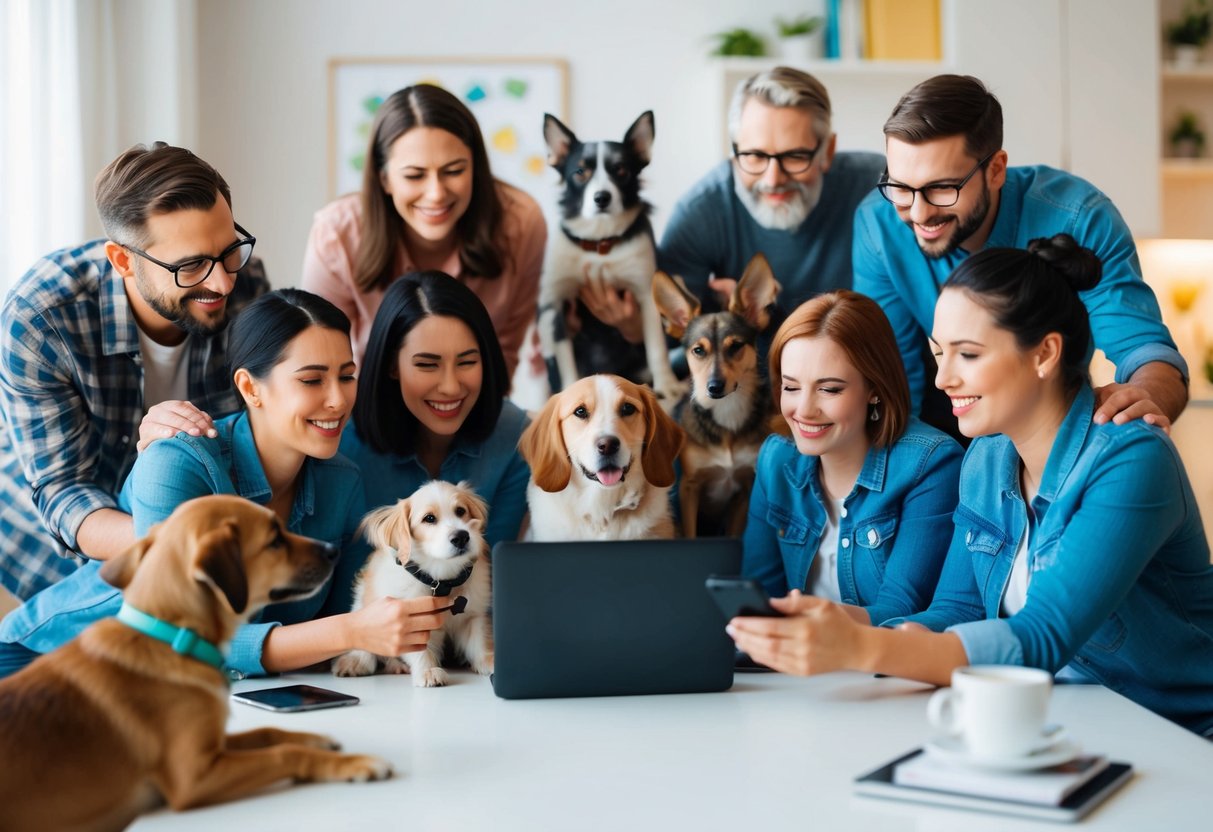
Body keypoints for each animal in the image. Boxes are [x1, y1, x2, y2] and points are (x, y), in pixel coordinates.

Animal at [0, 499, 390, 829]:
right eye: (274, 540)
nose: (333, 550)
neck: (171, 636)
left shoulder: (214, 744)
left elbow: (267, 731)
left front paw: (314, 737)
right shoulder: (194, 775)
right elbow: (283, 754)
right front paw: (356, 763)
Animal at [332, 480, 492, 688]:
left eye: (460, 511)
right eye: (429, 518)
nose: (462, 537)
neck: (441, 580)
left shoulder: (472, 617)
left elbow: (479, 643)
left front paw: (492, 663)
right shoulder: (408, 621)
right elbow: (419, 650)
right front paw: (427, 670)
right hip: (363, 602)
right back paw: (357, 661)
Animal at [659, 255, 781, 540]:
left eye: (735, 346)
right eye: (698, 350)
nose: (713, 387)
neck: (727, 409)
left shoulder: (745, 490)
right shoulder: (688, 489)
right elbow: (690, 533)